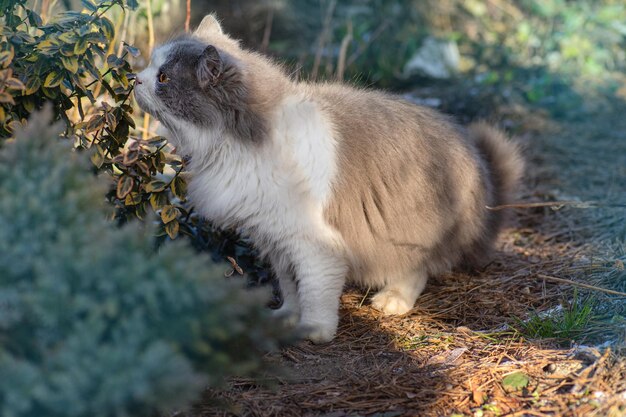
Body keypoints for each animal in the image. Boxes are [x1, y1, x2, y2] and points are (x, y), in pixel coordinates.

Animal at [135, 14, 520, 342]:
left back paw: (392, 300)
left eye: (163, 78)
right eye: (151, 67)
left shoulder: (313, 243)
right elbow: (291, 287)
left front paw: (314, 330)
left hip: (412, 229)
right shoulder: (277, 239)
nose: (136, 78)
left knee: (418, 269)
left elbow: (316, 291)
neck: (234, 145)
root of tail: (474, 153)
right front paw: (286, 317)